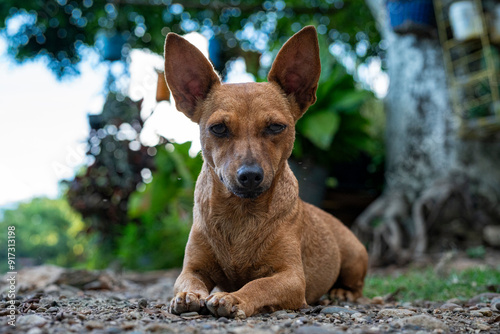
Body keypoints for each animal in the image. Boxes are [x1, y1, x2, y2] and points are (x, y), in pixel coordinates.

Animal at [163, 25, 368, 318]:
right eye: (218, 128)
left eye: (275, 127)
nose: (250, 175)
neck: (240, 215)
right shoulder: (193, 267)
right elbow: (189, 281)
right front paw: (188, 295)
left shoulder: (291, 278)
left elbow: (258, 285)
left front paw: (233, 298)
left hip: (353, 258)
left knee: (357, 285)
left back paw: (341, 293)